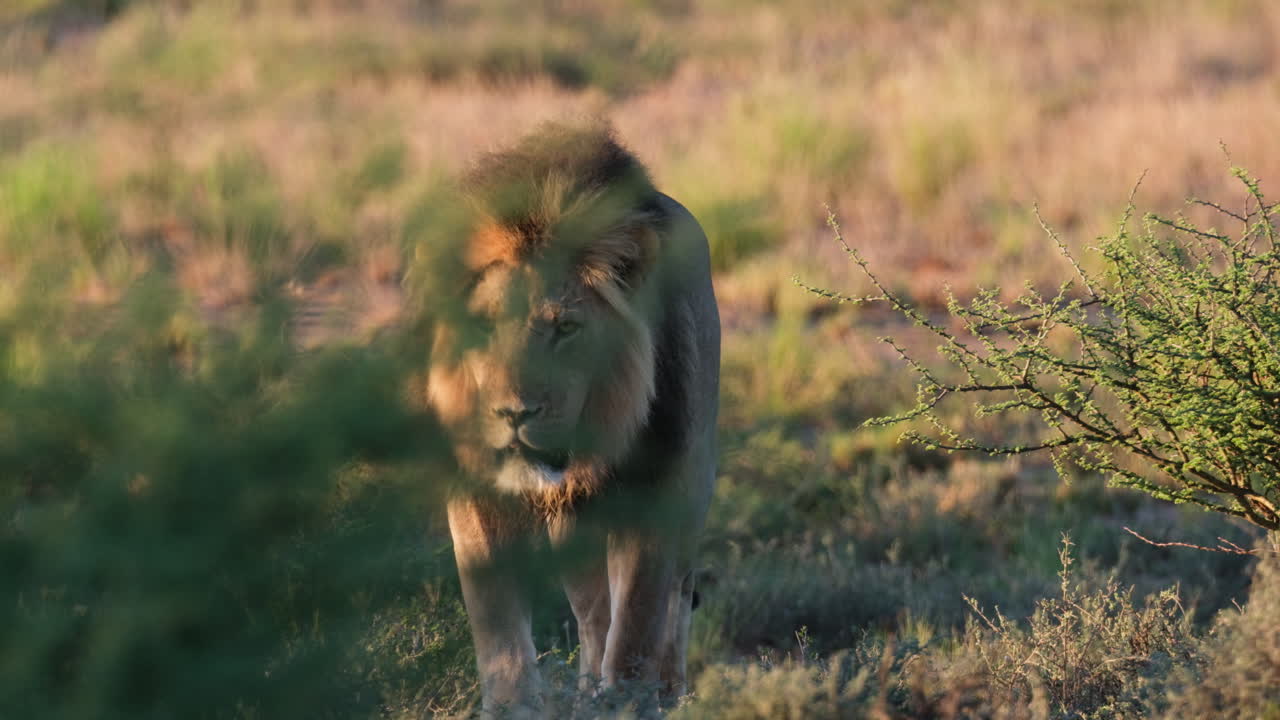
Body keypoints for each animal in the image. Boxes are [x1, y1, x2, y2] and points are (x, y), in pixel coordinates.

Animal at [425, 122, 719, 716]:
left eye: (564, 328)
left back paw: (670, 690)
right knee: (592, 614)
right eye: (482, 325)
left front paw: (628, 700)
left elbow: (638, 619)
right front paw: (512, 704)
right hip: (573, 528)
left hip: (693, 487)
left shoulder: (656, 488)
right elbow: (497, 620)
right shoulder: (475, 489)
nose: (513, 413)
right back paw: (585, 687)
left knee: (675, 599)